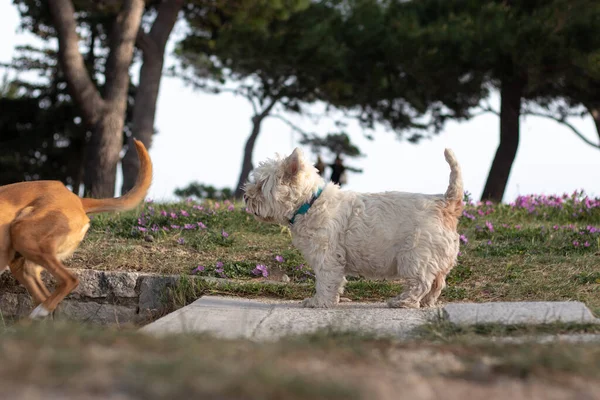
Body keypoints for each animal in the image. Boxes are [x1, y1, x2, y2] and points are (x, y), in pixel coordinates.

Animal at [0, 139, 152, 320]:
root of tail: (77, 199)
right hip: (22, 260)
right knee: (44, 294)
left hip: (23, 233)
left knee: (70, 280)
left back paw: (40, 311)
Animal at [244, 148, 464, 308]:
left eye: (261, 185)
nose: (245, 196)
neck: (310, 202)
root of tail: (446, 203)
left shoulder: (327, 256)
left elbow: (325, 281)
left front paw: (319, 302)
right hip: (436, 259)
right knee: (437, 283)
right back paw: (426, 303)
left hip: (416, 256)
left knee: (421, 283)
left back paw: (402, 301)